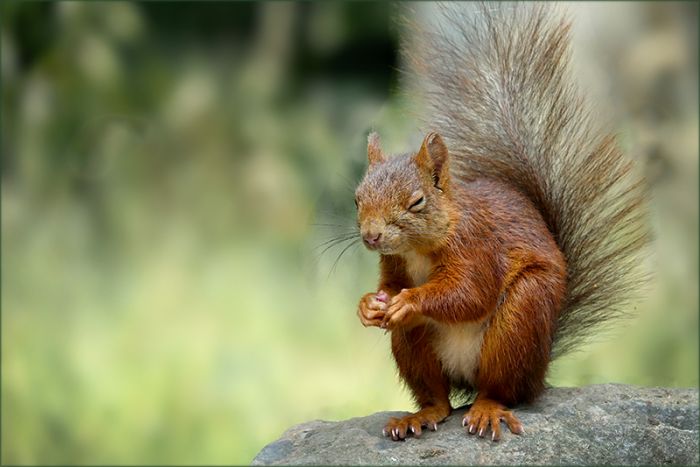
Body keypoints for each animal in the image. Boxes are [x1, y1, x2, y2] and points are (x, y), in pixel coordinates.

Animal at [354, 4, 649, 442]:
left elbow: (469, 293)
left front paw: (409, 300)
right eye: (357, 198)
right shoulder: (394, 263)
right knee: (437, 397)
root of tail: (539, 370)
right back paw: (421, 415)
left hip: (520, 320)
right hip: (415, 349)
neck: (419, 248)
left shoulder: (478, 246)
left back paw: (488, 409)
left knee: (500, 389)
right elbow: (389, 285)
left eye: (417, 201)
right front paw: (369, 305)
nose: (371, 236)